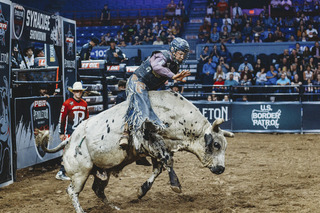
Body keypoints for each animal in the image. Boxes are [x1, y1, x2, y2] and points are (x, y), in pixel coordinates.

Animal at [42, 90, 232, 212]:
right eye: (216, 144)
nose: (221, 168)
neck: (172, 114)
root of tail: (69, 140)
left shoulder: (157, 149)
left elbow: (159, 168)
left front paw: (142, 191)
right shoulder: (151, 142)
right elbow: (167, 162)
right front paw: (176, 185)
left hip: (102, 172)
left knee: (98, 190)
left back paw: (115, 207)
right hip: (80, 173)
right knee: (72, 191)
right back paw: (82, 210)